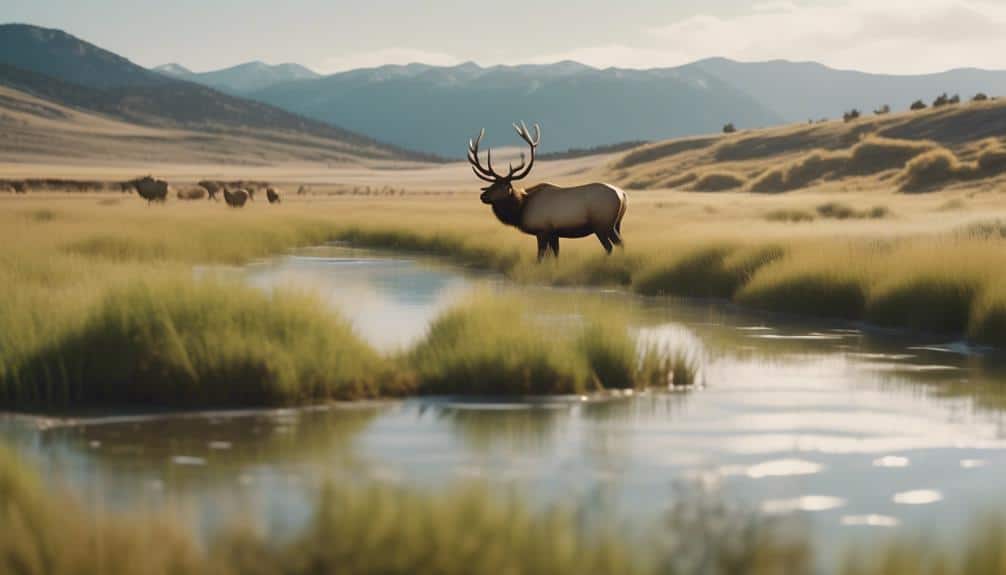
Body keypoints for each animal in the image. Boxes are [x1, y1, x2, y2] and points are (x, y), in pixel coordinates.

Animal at [468, 122, 627, 262]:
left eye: (500, 186)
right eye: (491, 184)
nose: (483, 196)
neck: (521, 209)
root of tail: (623, 195)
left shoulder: (542, 230)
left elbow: (540, 256)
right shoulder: (554, 233)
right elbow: (555, 255)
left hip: (603, 224)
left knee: (611, 247)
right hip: (617, 224)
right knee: (621, 244)